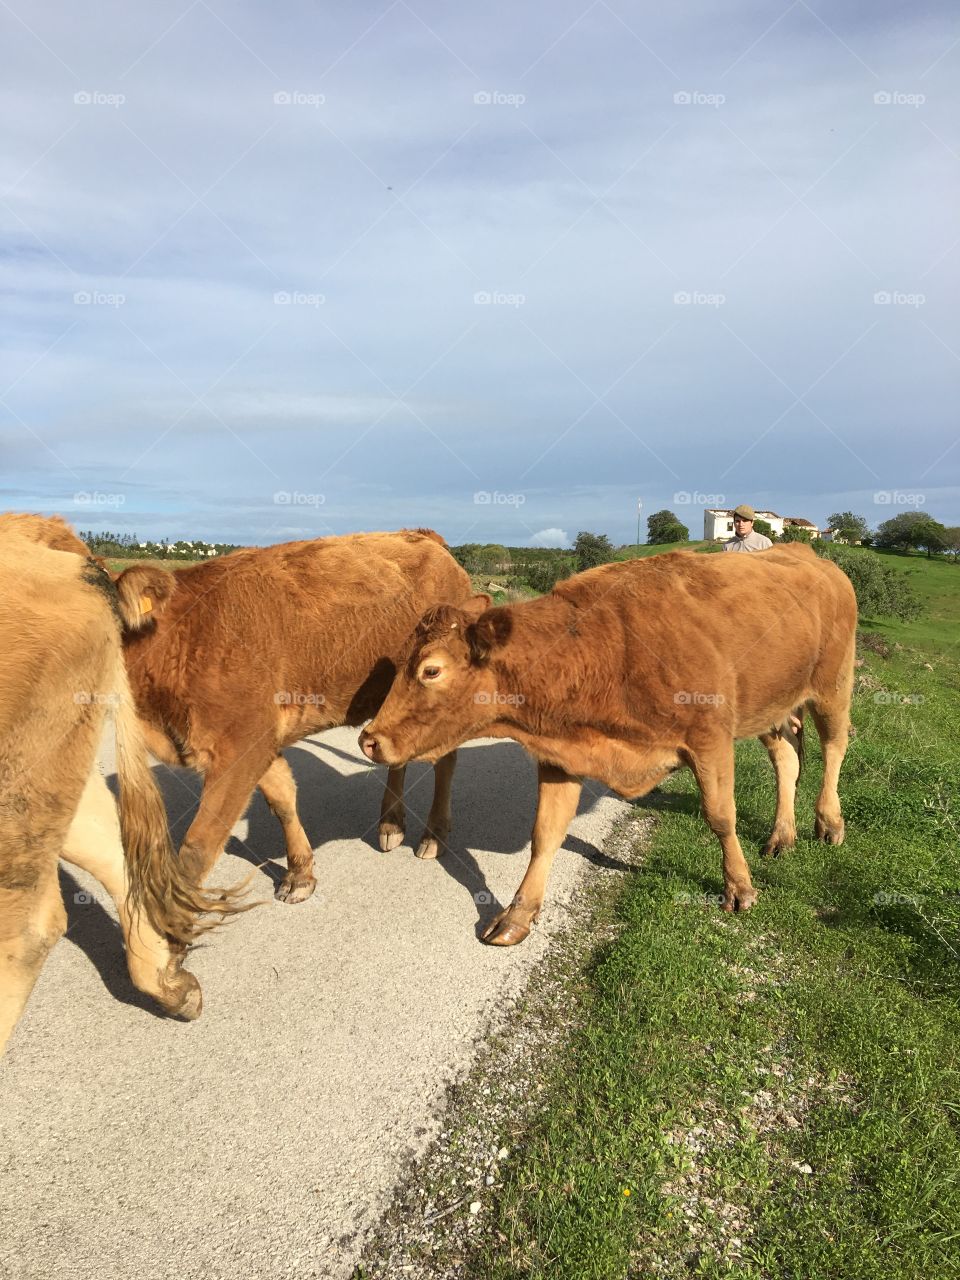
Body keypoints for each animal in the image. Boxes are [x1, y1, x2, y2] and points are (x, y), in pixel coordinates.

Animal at [111, 529, 479, 901]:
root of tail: (422, 536)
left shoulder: (238, 748)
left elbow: (197, 849)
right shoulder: (259, 741)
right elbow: (282, 799)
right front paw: (300, 874)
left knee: (445, 762)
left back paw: (433, 835)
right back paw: (391, 825)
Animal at [360, 543, 858, 944]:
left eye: (431, 670)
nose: (369, 739)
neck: (605, 650)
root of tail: (811, 555)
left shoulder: (709, 739)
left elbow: (720, 816)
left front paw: (739, 888)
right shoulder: (561, 757)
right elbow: (545, 833)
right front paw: (517, 916)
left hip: (833, 686)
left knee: (834, 749)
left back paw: (829, 823)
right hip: (772, 707)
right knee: (787, 759)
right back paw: (781, 835)